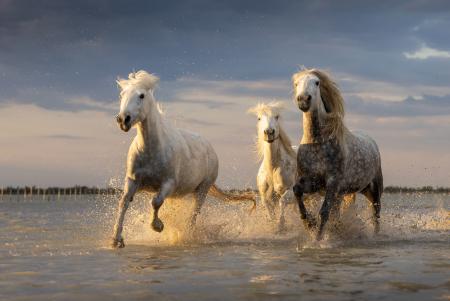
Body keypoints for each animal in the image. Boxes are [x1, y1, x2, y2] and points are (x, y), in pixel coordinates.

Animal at [111, 69, 255, 246]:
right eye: (122, 94)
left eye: (142, 95)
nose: (123, 119)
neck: (152, 150)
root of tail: (211, 148)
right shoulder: (132, 180)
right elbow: (124, 202)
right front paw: (116, 240)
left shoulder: (169, 183)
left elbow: (155, 202)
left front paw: (157, 226)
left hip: (202, 189)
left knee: (194, 214)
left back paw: (188, 235)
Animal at [292, 68, 384, 239]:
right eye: (296, 83)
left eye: (317, 82)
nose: (303, 100)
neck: (317, 143)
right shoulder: (311, 182)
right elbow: (297, 191)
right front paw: (309, 224)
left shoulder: (332, 183)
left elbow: (324, 212)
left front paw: (318, 239)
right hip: (343, 193)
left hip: (373, 190)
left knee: (376, 214)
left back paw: (375, 236)